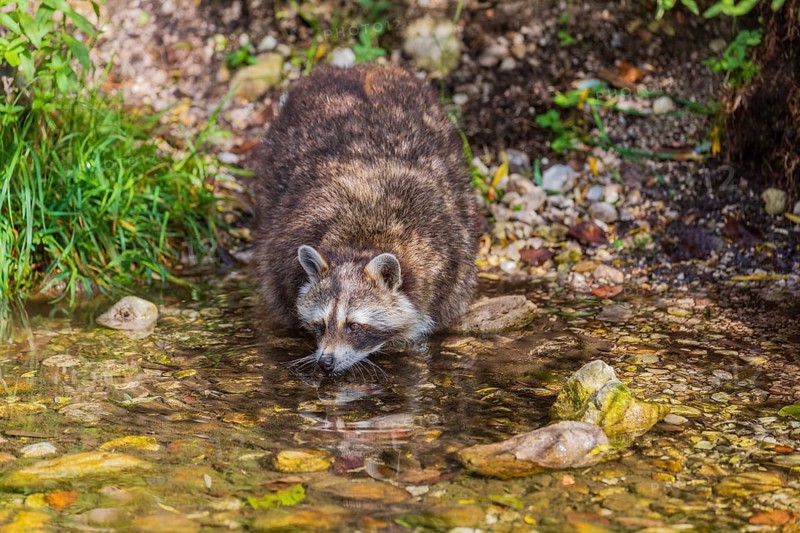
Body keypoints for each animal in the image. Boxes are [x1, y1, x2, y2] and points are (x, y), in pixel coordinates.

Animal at [253, 65, 479, 375]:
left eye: (354, 326)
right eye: (320, 324)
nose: (325, 363)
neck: (362, 240)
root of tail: (357, 69)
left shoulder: (448, 264)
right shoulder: (283, 254)